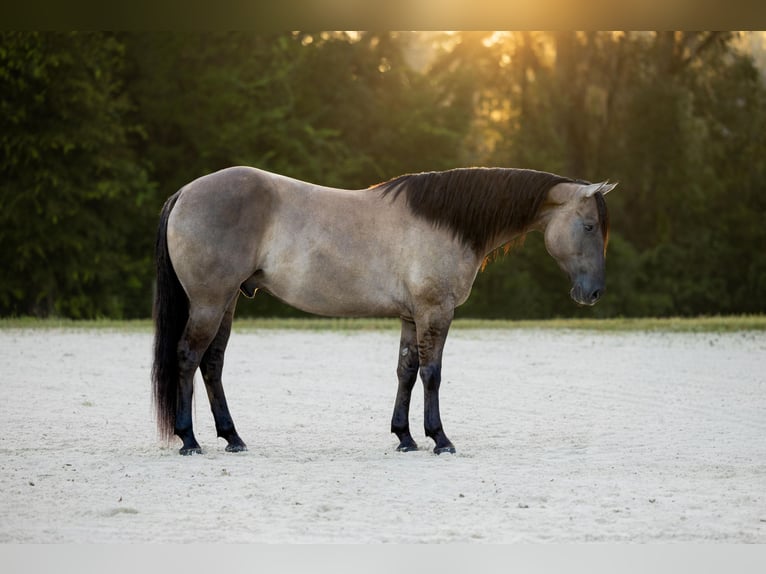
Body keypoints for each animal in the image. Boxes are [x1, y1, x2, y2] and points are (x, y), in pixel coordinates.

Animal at [152, 166, 616, 455]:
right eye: (589, 226)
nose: (593, 293)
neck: (447, 223)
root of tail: (185, 192)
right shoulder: (435, 311)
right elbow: (432, 373)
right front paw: (439, 438)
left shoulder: (412, 316)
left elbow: (406, 371)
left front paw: (404, 437)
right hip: (210, 302)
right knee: (188, 357)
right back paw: (190, 440)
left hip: (227, 302)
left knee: (212, 363)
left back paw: (232, 437)